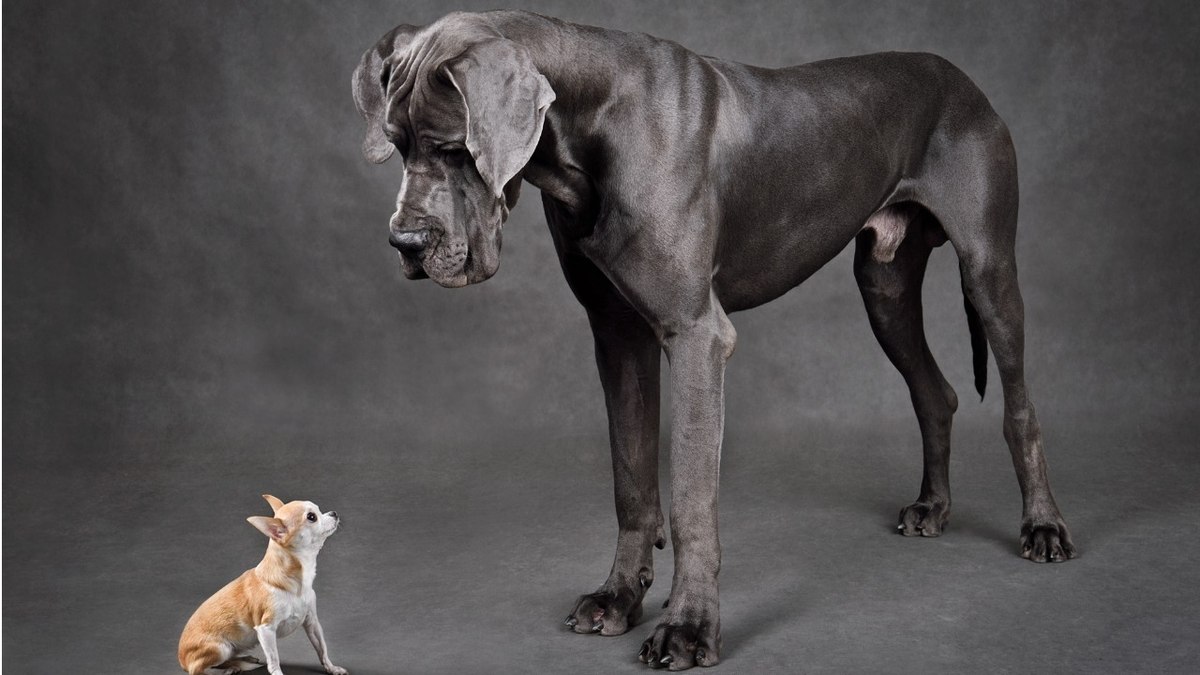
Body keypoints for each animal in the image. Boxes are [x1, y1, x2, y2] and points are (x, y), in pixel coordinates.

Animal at [177, 494, 348, 672]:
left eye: (318, 510)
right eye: (312, 517)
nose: (334, 513)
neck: (296, 583)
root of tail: (182, 660)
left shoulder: (312, 623)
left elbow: (322, 649)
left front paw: (332, 668)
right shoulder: (266, 629)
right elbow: (274, 659)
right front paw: (277, 673)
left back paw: (243, 660)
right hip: (220, 649)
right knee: (200, 670)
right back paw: (230, 668)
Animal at [350, 10, 1075, 667]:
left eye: (454, 147)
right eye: (397, 142)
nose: (405, 243)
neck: (591, 124)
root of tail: (961, 79)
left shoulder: (696, 335)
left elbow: (692, 500)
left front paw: (688, 626)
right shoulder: (617, 335)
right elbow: (632, 480)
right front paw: (620, 596)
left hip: (987, 272)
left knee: (1019, 407)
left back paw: (1042, 525)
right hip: (886, 289)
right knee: (936, 393)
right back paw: (933, 506)